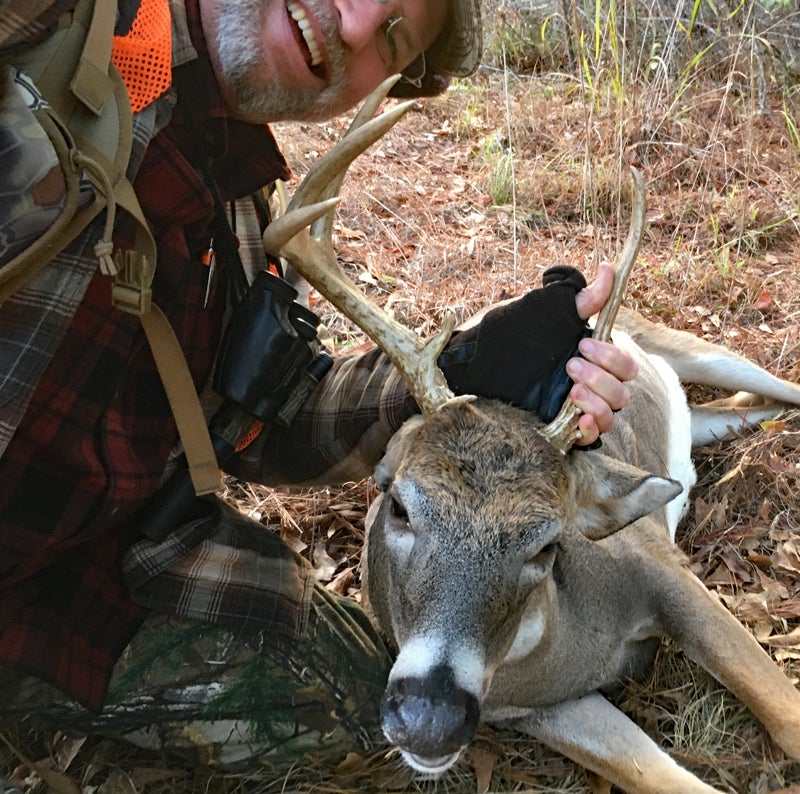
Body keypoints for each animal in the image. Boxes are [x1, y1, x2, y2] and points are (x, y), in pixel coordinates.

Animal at [266, 77, 800, 788]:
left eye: (548, 545)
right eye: (399, 506)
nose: (429, 717)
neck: (569, 639)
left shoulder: (668, 569)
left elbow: (788, 717)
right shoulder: (533, 709)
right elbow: (661, 777)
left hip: (699, 347)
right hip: (710, 416)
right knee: (743, 407)